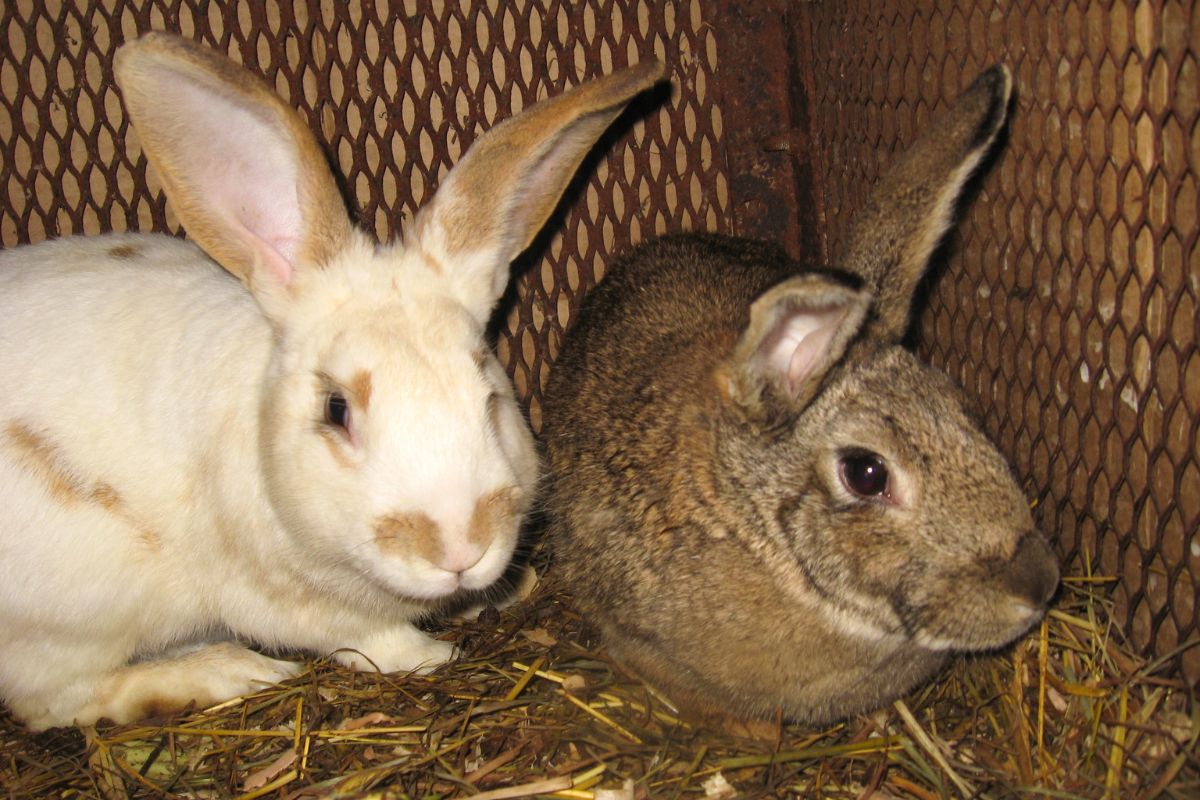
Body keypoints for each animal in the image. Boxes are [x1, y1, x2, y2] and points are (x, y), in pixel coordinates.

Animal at [0, 32, 664, 731]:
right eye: (336, 410)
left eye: (488, 392)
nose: (459, 548)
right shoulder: (291, 601)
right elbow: (373, 638)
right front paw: (435, 654)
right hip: (71, 622)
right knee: (55, 701)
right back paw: (229, 671)